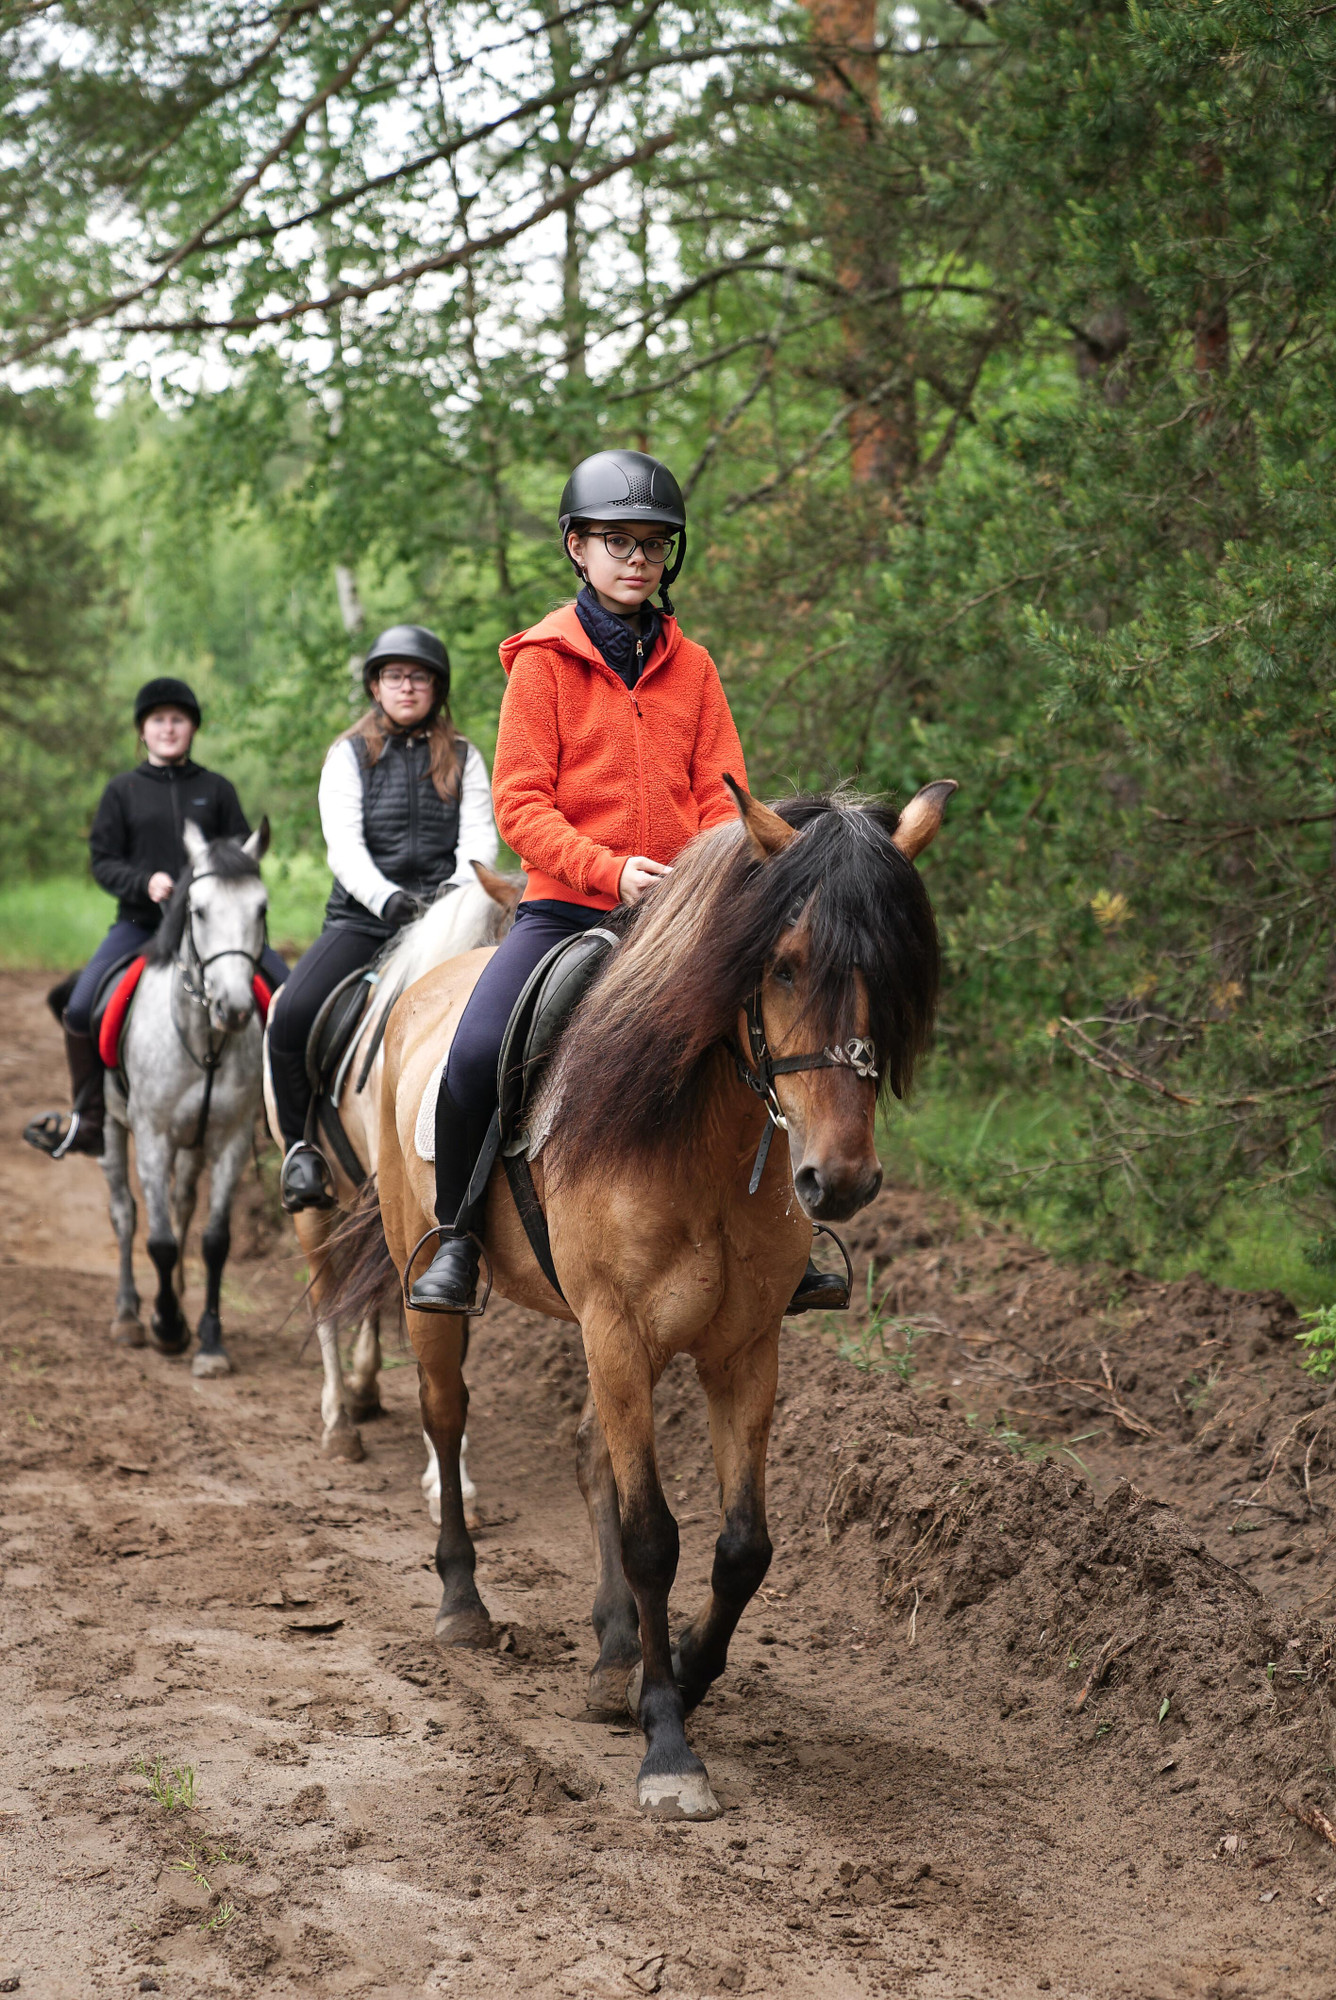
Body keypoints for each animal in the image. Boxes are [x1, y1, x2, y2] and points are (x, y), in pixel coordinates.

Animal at [332, 780, 948, 1816]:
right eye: (783, 965)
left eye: (897, 970)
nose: (840, 1180)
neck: (697, 1134)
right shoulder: (619, 1333)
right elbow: (653, 1532)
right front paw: (667, 1745)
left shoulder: (743, 1351)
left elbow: (742, 1546)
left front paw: (683, 1672)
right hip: (437, 1297)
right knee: (446, 1417)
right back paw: (462, 1602)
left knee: (594, 1458)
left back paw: (614, 1647)